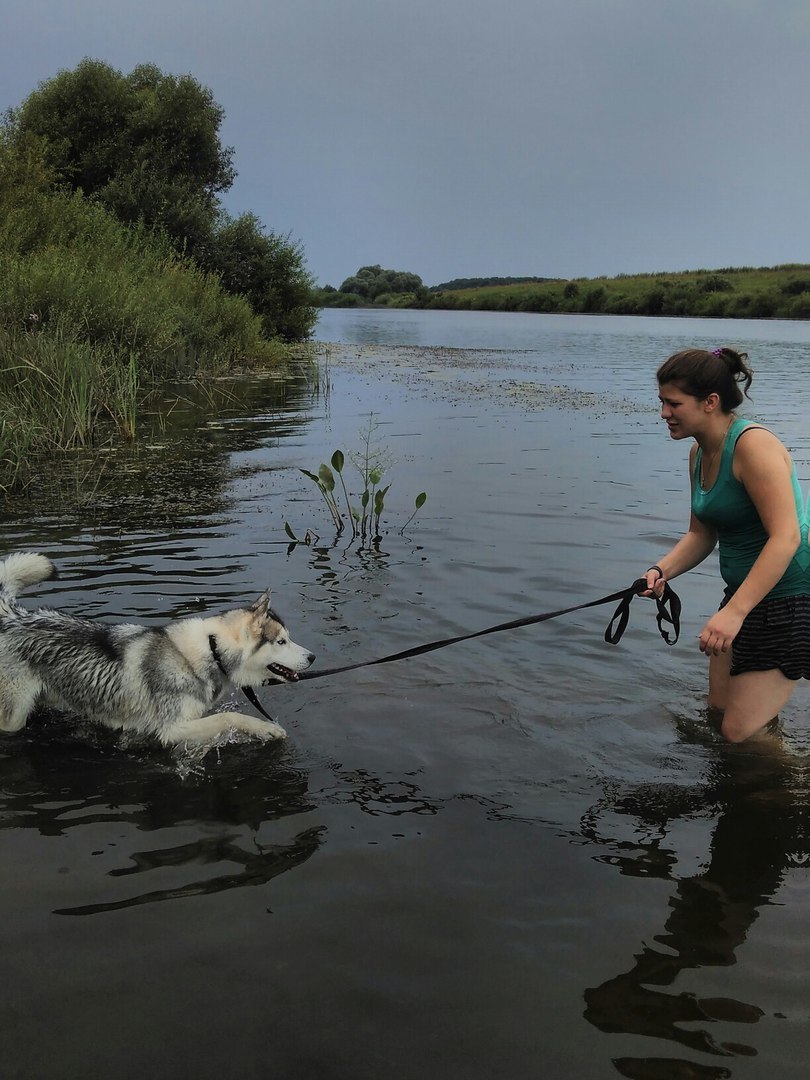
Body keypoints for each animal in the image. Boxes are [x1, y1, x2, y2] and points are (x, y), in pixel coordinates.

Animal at [0, 552, 315, 747]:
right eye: (282, 642)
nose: (313, 657)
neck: (210, 650)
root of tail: (13, 615)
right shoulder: (172, 729)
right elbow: (231, 717)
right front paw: (268, 729)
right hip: (13, 719)